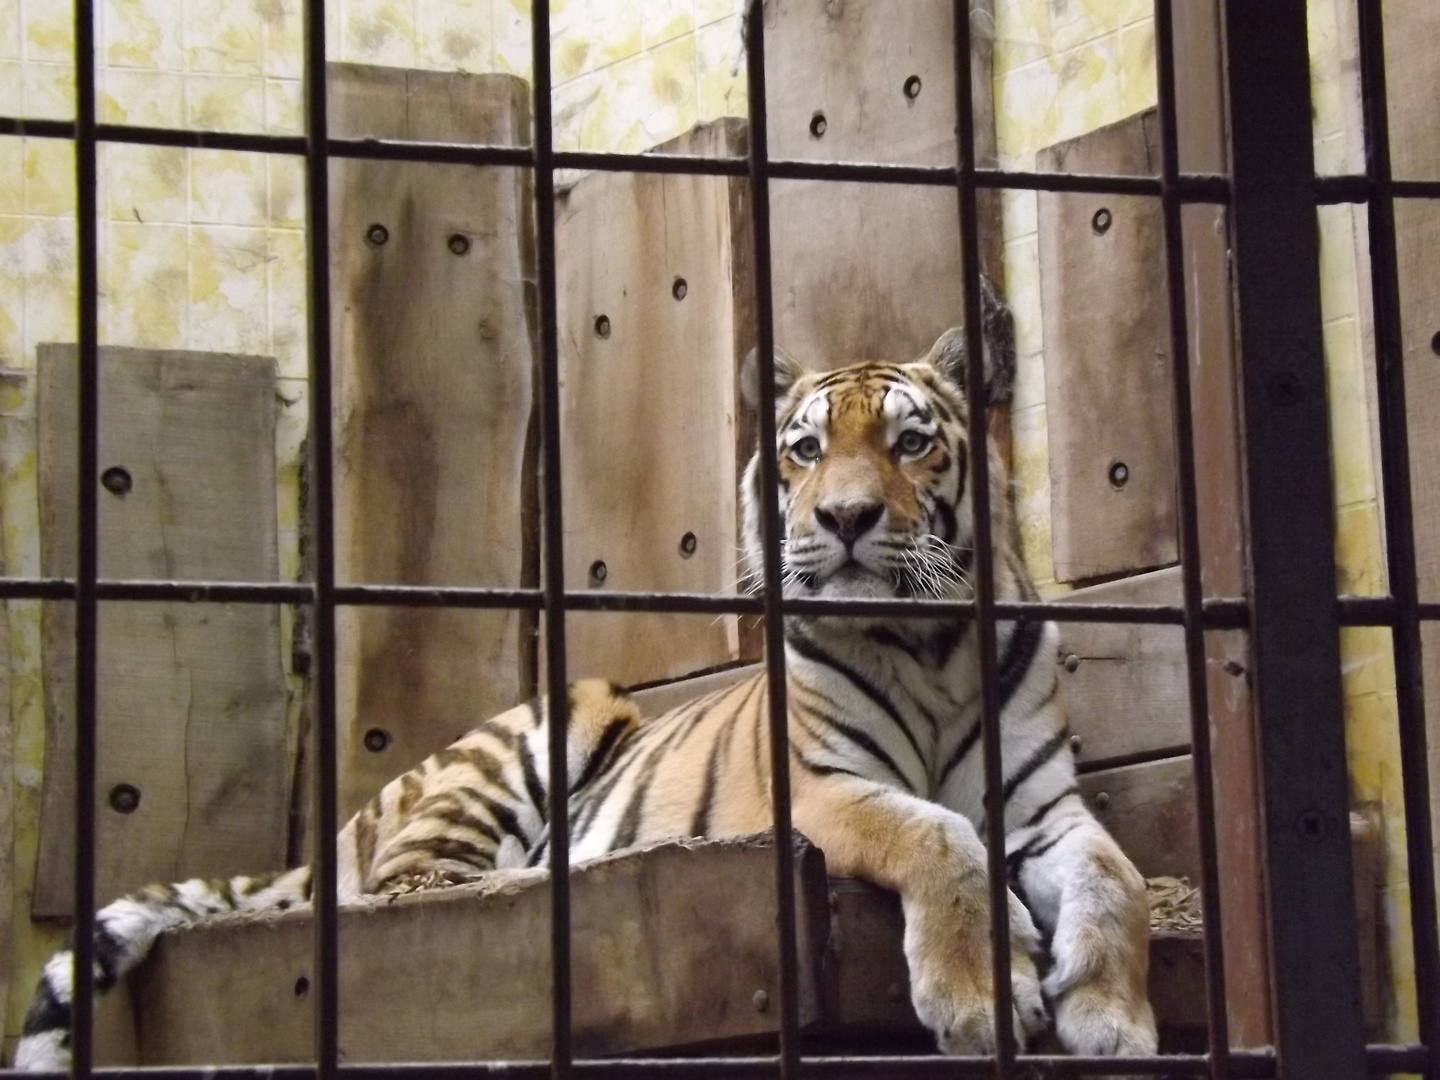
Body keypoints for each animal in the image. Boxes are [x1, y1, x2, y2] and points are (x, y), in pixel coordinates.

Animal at [14, 289, 1157, 1077]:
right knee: (415, 890)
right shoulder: (822, 788)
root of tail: (344, 824)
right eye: (803, 450)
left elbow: (1118, 880)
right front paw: (987, 997)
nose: (842, 518)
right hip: (555, 719)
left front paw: (1113, 1019)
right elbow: (938, 838)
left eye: (912, 442)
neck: (926, 643)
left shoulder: (1044, 806)